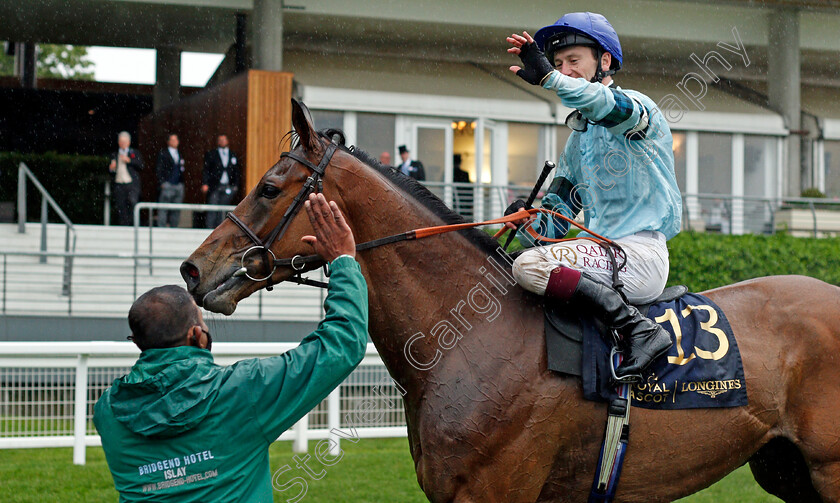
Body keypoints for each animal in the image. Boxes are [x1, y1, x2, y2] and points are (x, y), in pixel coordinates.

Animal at [180, 99, 840, 503]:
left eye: (269, 188)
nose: (192, 269)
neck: (469, 339)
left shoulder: (497, 489)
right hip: (785, 468)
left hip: (828, 469)